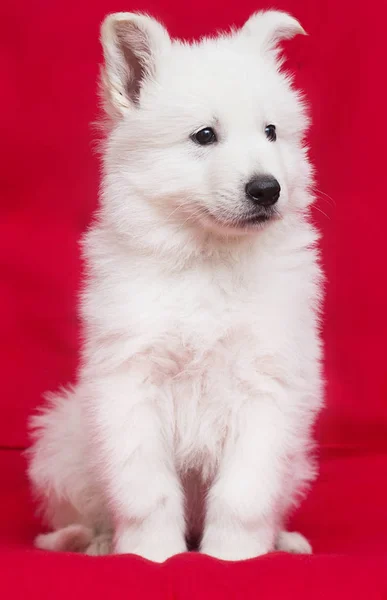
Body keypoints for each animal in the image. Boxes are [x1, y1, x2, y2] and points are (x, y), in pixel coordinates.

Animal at [28, 10, 324, 564]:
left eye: (272, 131)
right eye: (204, 135)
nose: (267, 189)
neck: (209, 258)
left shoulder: (265, 388)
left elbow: (243, 495)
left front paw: (234, 558)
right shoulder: (132, 383)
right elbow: (146, 492)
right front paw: (153, 556)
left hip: (297, 459)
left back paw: (284, 542)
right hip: (65, 444)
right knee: (87, 512)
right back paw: (94, 542)